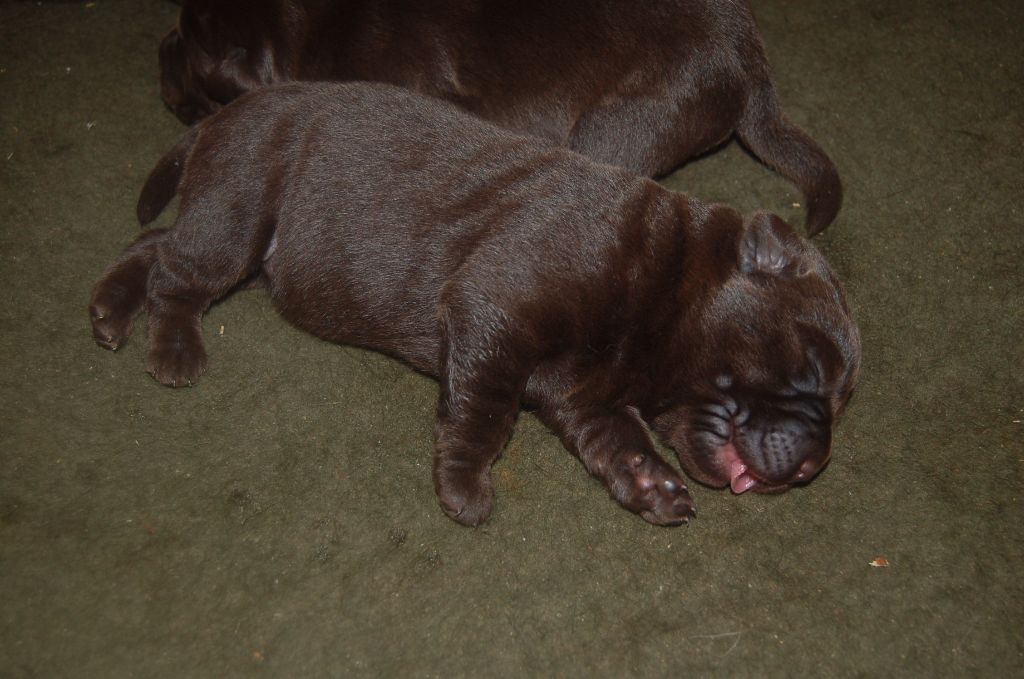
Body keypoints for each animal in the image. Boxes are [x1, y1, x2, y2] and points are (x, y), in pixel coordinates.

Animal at [88, 85, 860, 528]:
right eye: (812, 368)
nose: (813, 465)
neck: (668, 283)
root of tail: (224, 116)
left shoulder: (585, 399)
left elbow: (618, 441)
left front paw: (650, 483)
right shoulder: (495, 304)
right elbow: (484, 409)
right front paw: (463, 481)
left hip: (247, 242)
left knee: (156, 241)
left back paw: (108, 308)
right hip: (243, 203)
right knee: (179, 269)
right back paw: (172, 345)